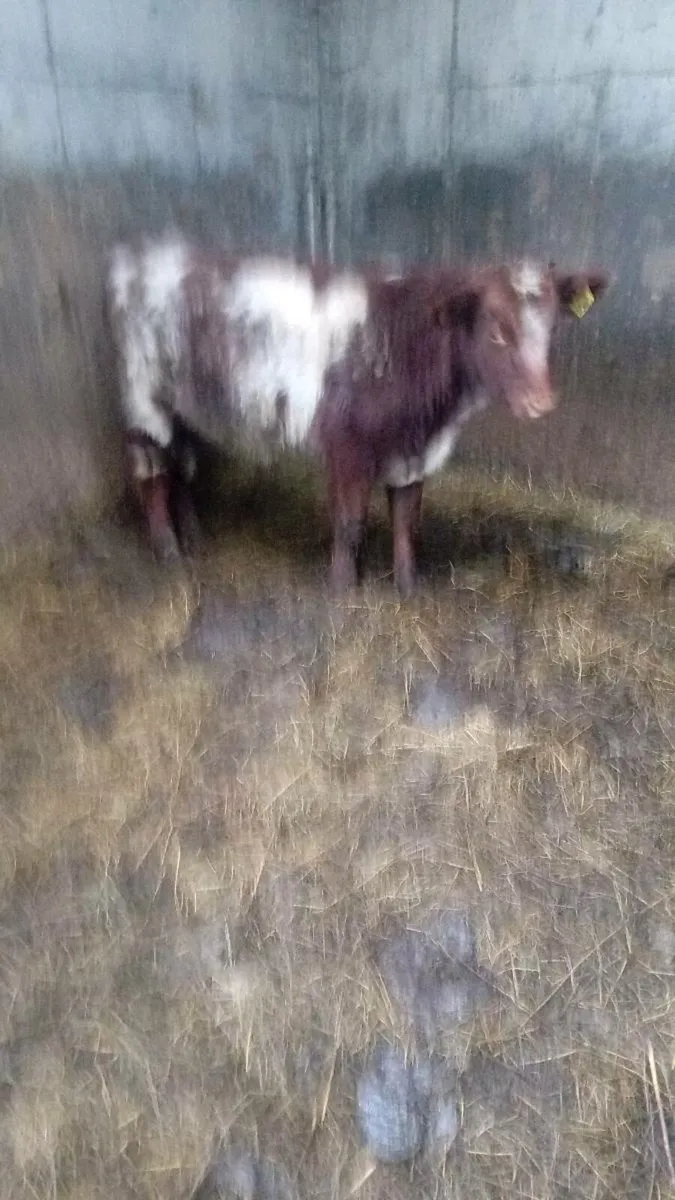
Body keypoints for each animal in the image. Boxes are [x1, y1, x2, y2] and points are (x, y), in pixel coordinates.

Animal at [106, 233, 610, 596]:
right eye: (497, 331)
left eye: (553, 327)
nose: (541, 401)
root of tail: (142, 253)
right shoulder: (345, 447)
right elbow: (349, 524)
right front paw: (344, 590)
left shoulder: (411, 452)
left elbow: (407, 521)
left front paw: (408, 587)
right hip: (142, 400)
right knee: (152, 473)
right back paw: (168, 552)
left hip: (183, 406)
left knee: (182, 464)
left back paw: (194, 539)